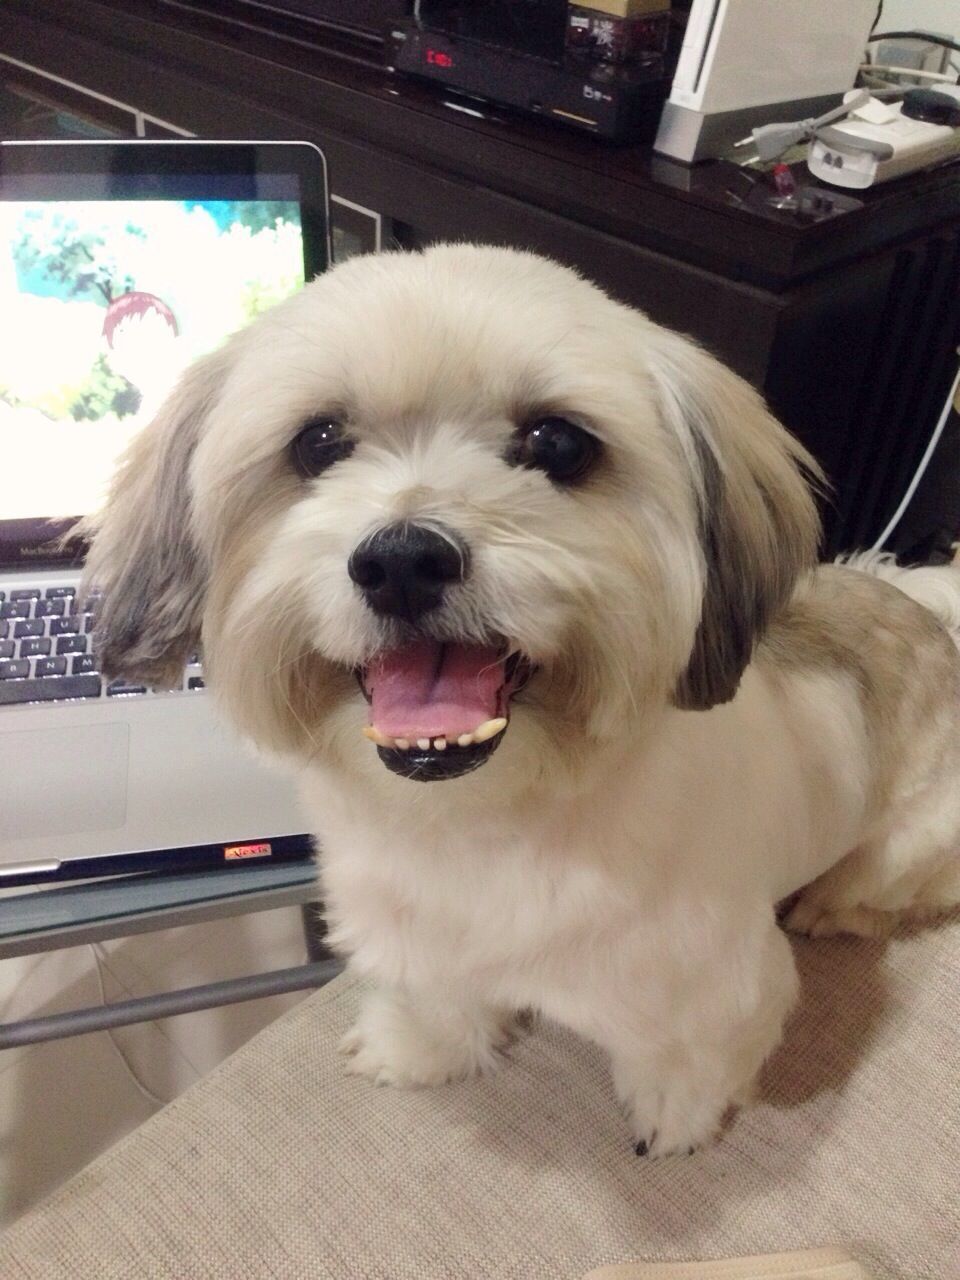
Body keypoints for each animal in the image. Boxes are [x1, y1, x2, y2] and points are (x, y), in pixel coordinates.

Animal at [82, 241, 960, 1162]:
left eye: (557, 442)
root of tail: (929, 616)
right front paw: (421, 1049)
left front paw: (675, 1120)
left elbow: (690, 1059)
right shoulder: (415, 931)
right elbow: (440, 996)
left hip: (908, 845)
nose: (403, 559)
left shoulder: (711, 986)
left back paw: (829, 906)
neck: (483, 820)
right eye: (318, 442)